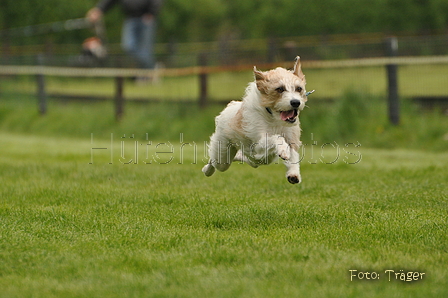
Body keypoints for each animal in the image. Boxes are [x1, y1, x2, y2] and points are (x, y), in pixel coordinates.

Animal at [201, 54, 310, 183]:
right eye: (280, 89)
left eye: (299, 88)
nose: (296, 102)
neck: (273, 117)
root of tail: (230, 106)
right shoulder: (258, 145)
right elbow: (276, 138)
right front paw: (283, 149)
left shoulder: (291, 138)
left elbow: (293, 154)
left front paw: (293, 174)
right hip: (222, 154)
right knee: (215, 162)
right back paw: (206, 170)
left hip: (255, 160)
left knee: (243, 158)